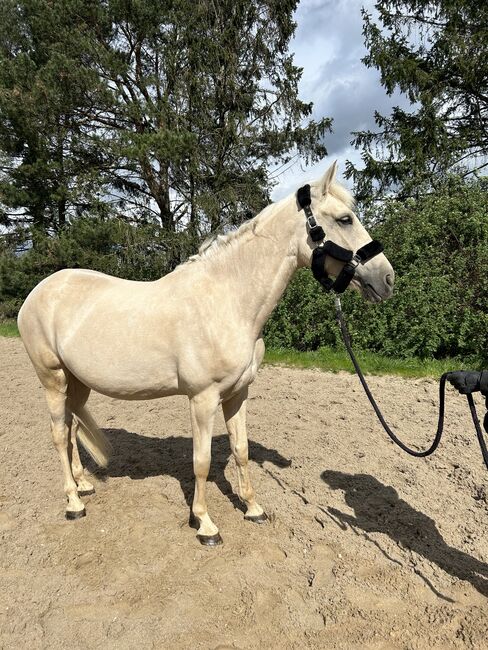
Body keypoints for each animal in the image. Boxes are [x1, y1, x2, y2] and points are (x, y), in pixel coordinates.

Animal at [17, 161, 394, 540]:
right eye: (345, 219)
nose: (387, 279)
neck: (227, 301)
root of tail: (38, 293)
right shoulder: (202, 398)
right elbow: (202, 461)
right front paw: (205, 524)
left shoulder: (238, 393)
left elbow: (240, 450)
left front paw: (253, 509)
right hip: (52, 380)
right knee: (58, 434)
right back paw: (73, 503)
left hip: (77, 383)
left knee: (71, 430)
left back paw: (83, 485)